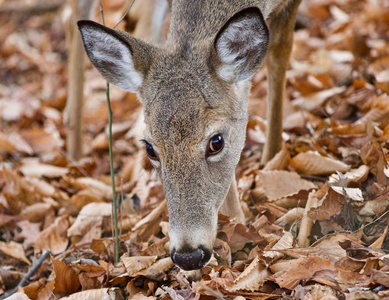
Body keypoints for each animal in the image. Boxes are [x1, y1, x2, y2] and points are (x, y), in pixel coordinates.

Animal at [77, 0, 302, 270]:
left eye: (216, 142)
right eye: (150, 148)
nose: (188, 255)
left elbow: (279, 50)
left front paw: (272, 159)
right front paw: (236, 220)